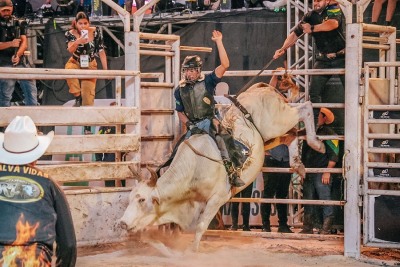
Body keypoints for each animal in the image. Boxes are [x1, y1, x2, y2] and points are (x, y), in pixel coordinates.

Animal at [119, 82, 324, 252]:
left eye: (142, 200)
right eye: (130, 198)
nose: (122, 223)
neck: (193, 170)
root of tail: (260, 87)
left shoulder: (217, 198)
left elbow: (201, 226)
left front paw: (192, 251)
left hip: (278, 120)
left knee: (305, 108)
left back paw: (316, 143)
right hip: (271, 136)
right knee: (292, 134)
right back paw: (298, 164)